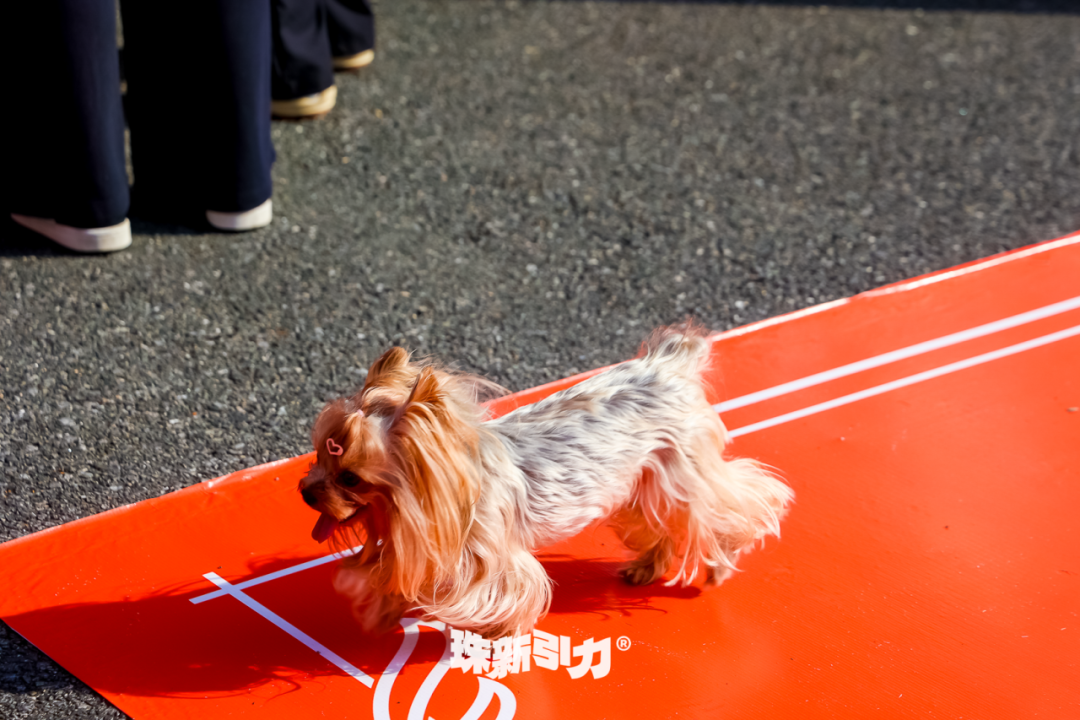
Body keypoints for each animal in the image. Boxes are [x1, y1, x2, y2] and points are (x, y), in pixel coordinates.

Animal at [299, 325, 793, 639]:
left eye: (351, 477)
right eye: (320, 454)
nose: (304, 492)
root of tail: (667, 364)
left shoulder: (486, 552)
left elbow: (506, 591)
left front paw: (498, 630)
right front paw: (383, 611)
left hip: (682, 470)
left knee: (733, 501)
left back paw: (721, 561)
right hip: (643, 479)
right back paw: (646, 567)